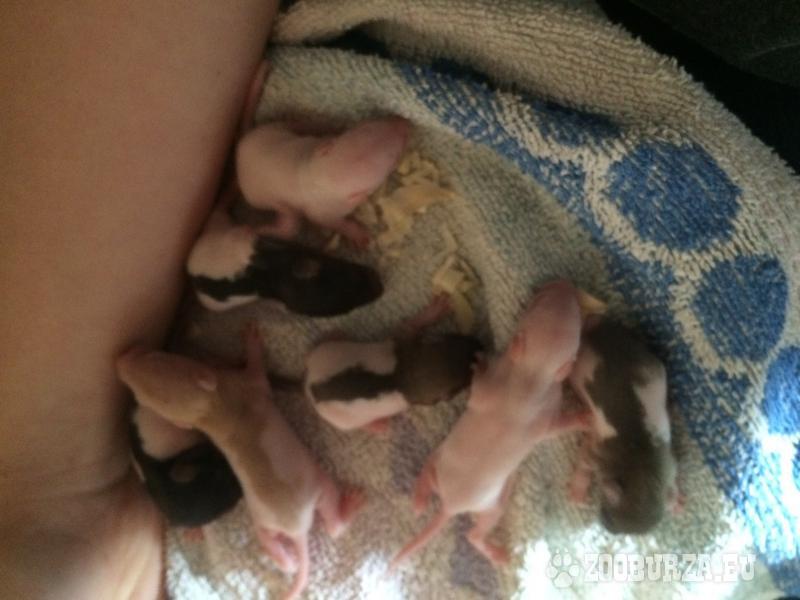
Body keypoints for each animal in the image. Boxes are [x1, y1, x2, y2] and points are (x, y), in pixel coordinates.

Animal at [116, 325, 365, 600]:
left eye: (154, 357)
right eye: (140, 396)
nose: (120, 361)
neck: (210, 409)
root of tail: (296, 530)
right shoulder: (248, 386)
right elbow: (257, 372)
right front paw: (252, 343)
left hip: (262, 521)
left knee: (269, 540)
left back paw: (284, 560)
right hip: (317, 488)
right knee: (332, 518)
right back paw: (348, 508)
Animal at [389, 280, 591, 569]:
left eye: (574, 312)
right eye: (541, 301)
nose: (563, 283)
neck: (531, 377)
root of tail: (450, 506)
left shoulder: (543, 409)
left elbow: (552, 429)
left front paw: (582, 418)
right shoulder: (506, 390)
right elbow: (482, 392)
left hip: (490, 503)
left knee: (475, 531)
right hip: (446, 465)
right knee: (433, 475)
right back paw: (420, 499)